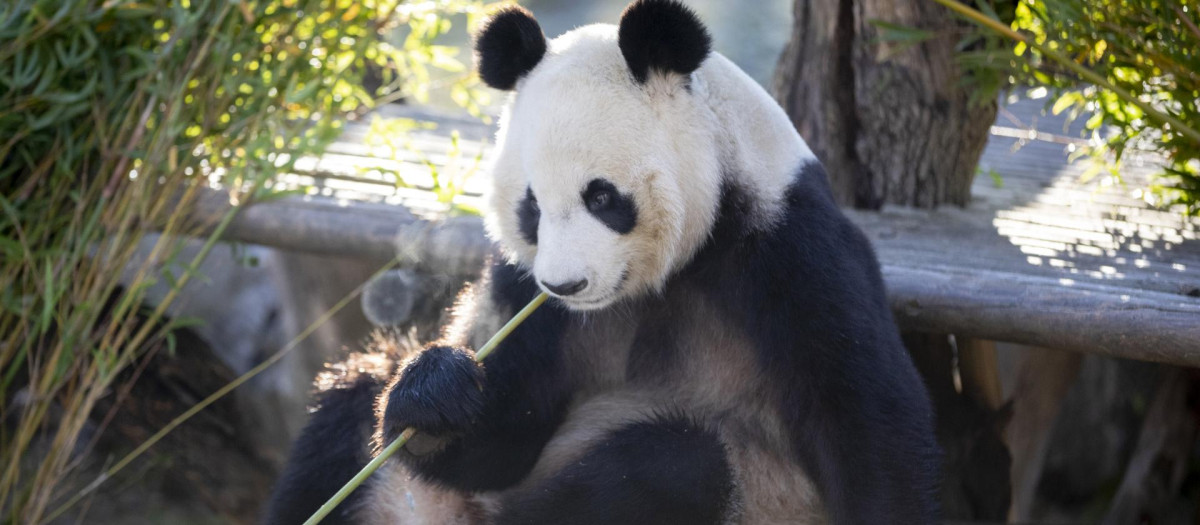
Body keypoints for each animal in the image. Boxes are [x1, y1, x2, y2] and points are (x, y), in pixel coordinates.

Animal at [267, 2, 940, 522]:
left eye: (601, 197)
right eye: (531, 206)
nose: (565, 284)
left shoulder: (789, 252)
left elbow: (867, 427)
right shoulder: (520, 288)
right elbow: (504, 434)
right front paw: (436, 394)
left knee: (673, 467)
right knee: (349, 404)